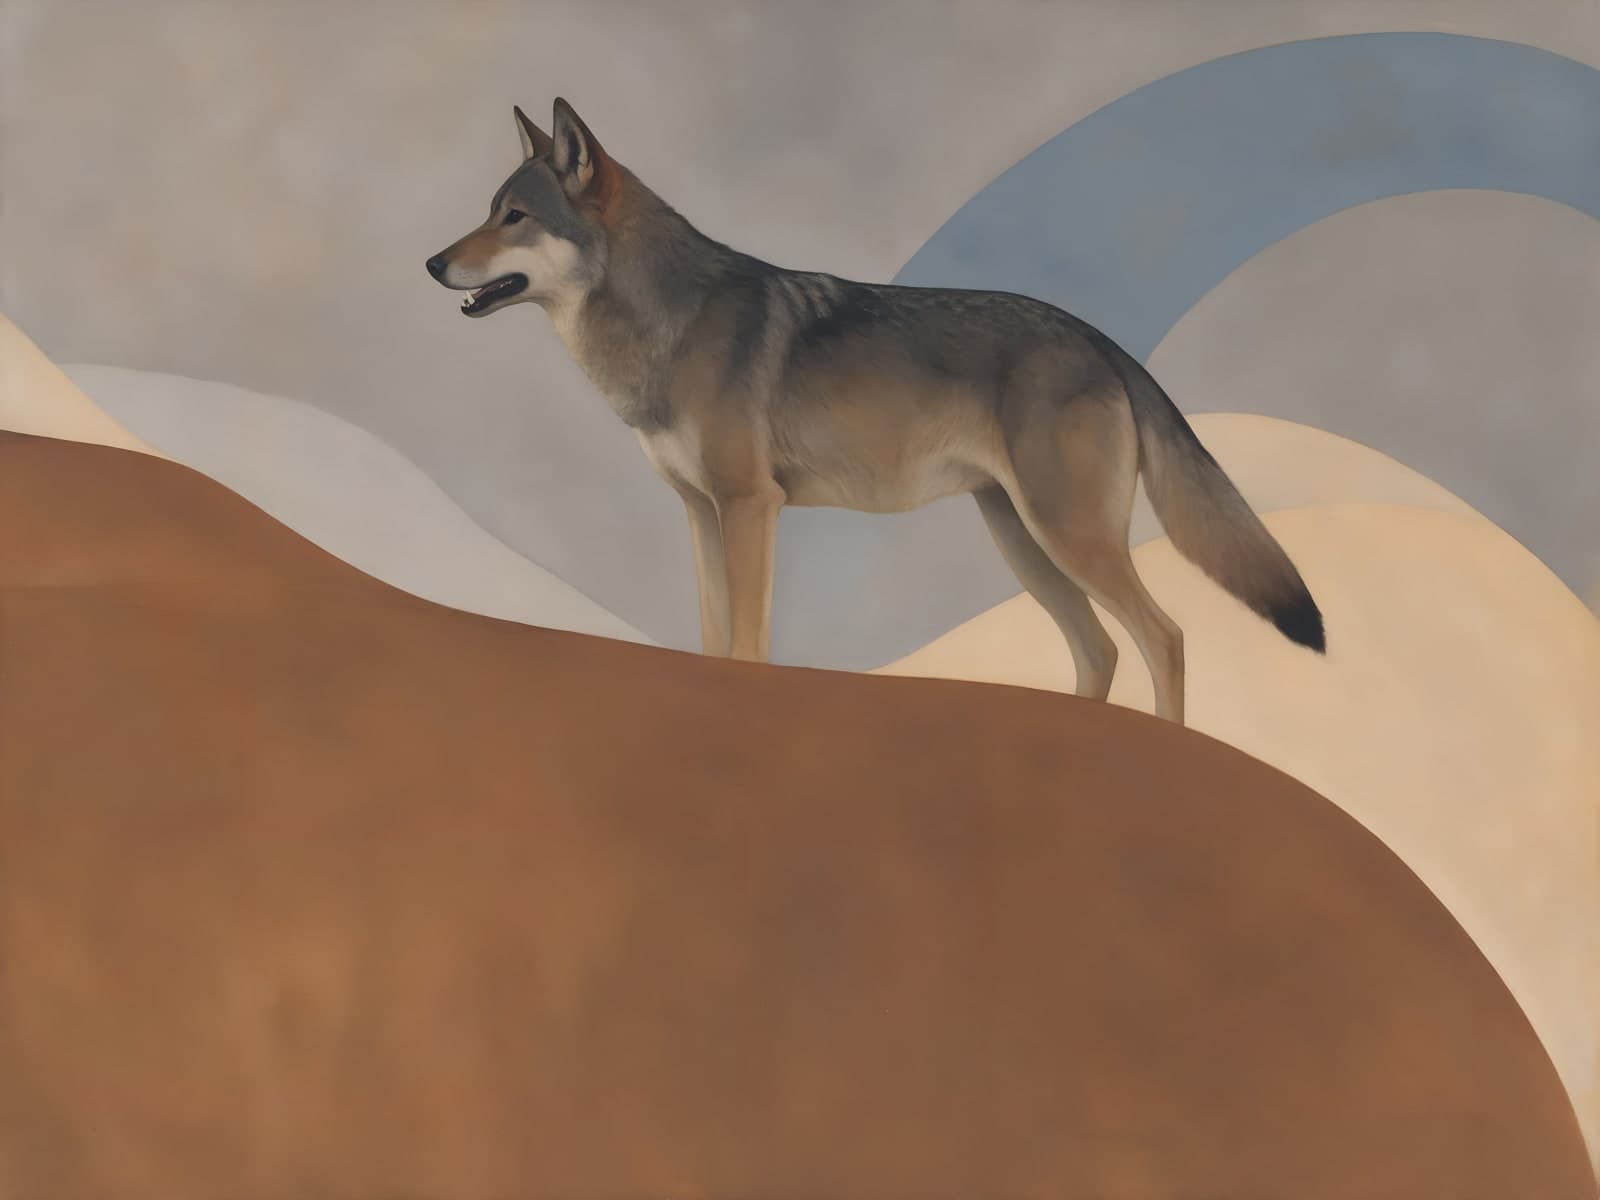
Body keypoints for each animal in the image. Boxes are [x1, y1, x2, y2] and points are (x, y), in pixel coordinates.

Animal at [425, 99, 1325, 724]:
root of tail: (1104, 341)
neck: (665, 325)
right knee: (1101, 649)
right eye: (488, 210)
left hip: (1065, 538)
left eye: (515, 217)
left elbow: (748, 648)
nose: (432, 262)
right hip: (1024, 543)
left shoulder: (751, 509)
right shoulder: (702, 516)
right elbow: (714, 645)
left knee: (1162, 636)